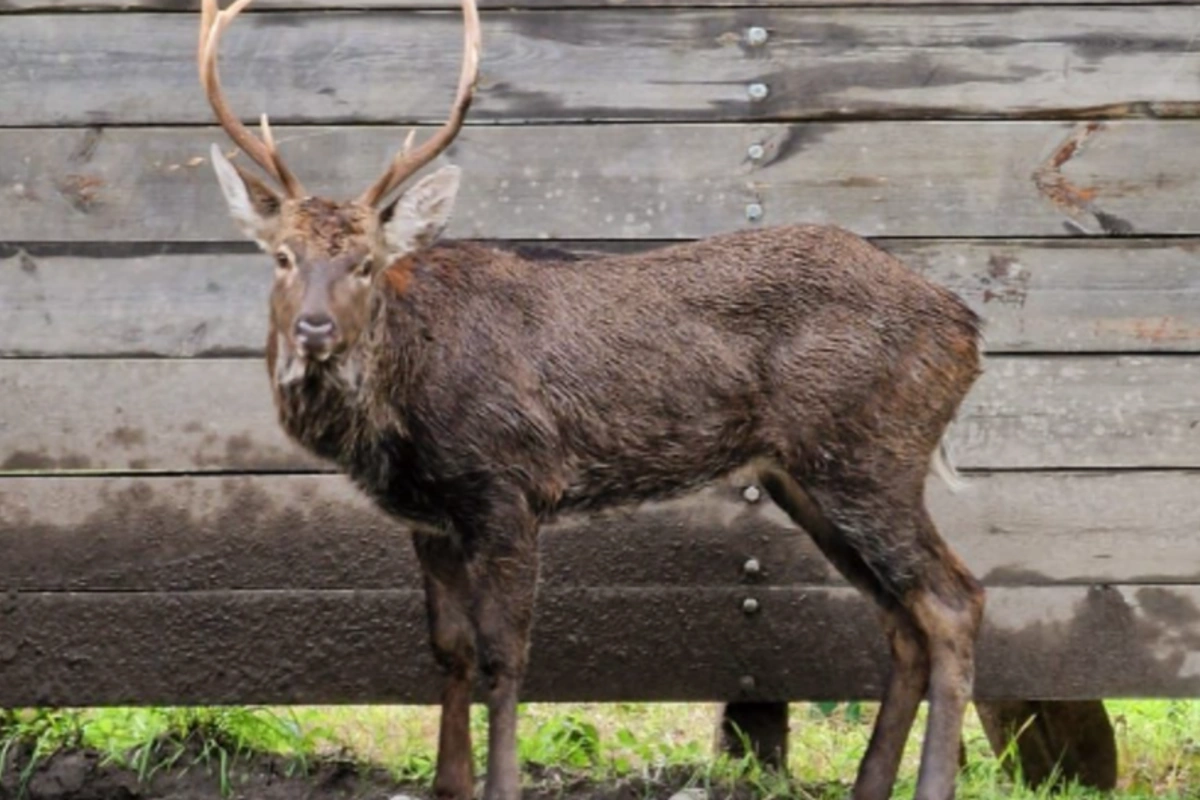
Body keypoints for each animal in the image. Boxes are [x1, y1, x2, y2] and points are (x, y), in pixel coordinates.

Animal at [196, 1, 984, 800]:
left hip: (873, 455)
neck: (403, 412)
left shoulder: (507, 484)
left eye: (364, 263)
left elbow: (504, 654)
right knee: (901, 621)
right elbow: (449, 649)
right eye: (283, 256)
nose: (313, 328)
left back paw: (933, 782)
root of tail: (967, 326)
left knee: (953, 601)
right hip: (807, 476)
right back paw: (871, 784)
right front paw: (451, 782)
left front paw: (501, 784)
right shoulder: (429, 518)